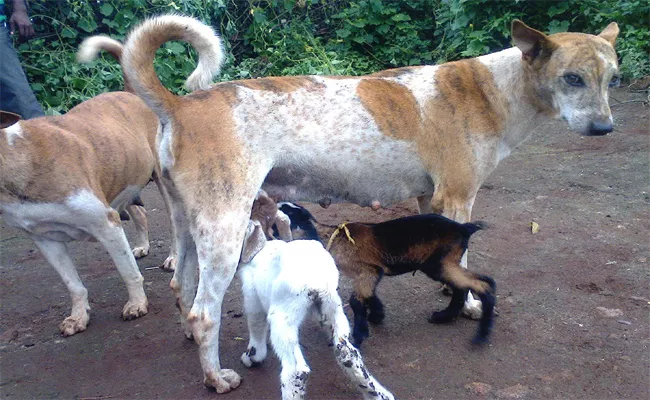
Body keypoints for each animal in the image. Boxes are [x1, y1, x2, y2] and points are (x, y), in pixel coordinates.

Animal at [0, 37, 176, 338]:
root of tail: (129, 91)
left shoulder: (106, 224)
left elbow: (128, 272)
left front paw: (137, 304)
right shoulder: (45, 240)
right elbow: (73, 284)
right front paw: (78, 316)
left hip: (160, 180)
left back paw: (174, 258)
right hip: (123, 180)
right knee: (140, 213)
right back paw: (141, 246)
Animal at [117, 14, 616, 390]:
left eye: (612, 78)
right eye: (572, 79)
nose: (605, 129)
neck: (493, 90)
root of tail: (181, 105)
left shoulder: (429, 198)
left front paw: (451, 294)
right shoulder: (457, 196)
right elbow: (465, 257)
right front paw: (470, 305)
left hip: (189, 226)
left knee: (181, 288)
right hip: (225, 230)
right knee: (205, 313)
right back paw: (216, 377)